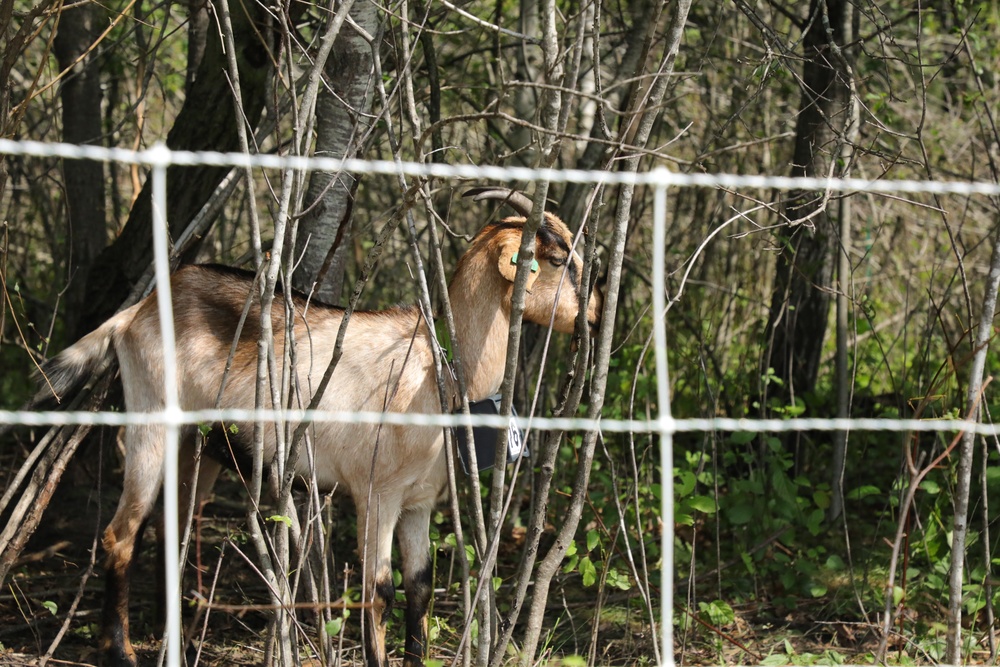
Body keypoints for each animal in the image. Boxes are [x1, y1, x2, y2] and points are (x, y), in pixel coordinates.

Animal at [35, 189, 600, 667]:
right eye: (557, 260)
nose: (594, 313)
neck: (434, 372)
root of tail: (137, 312)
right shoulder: (376, 492)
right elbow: (379, 590)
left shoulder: (418, 500)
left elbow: (419, 586)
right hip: (150, 419)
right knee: (120, 532)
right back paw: (121, 651)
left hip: (201, 447)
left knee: (170, 523)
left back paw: (178, 633)